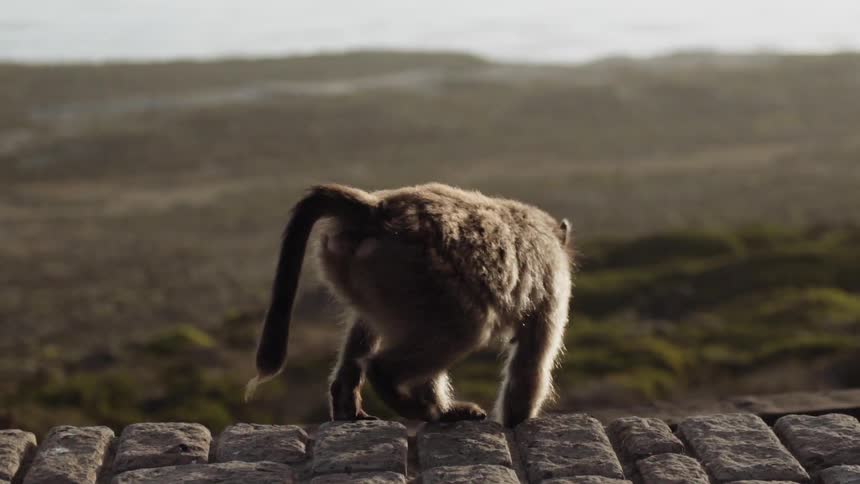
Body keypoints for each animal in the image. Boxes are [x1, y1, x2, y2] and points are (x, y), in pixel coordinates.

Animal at [245, 182, 573, 428]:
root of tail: (375, 209)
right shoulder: (552, 287)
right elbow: (531, 361)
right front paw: (516, 423)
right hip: (414, 270)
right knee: (463, 329)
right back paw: (418, 404)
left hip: (373, 274)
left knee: (372, 325)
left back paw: (351, 403)